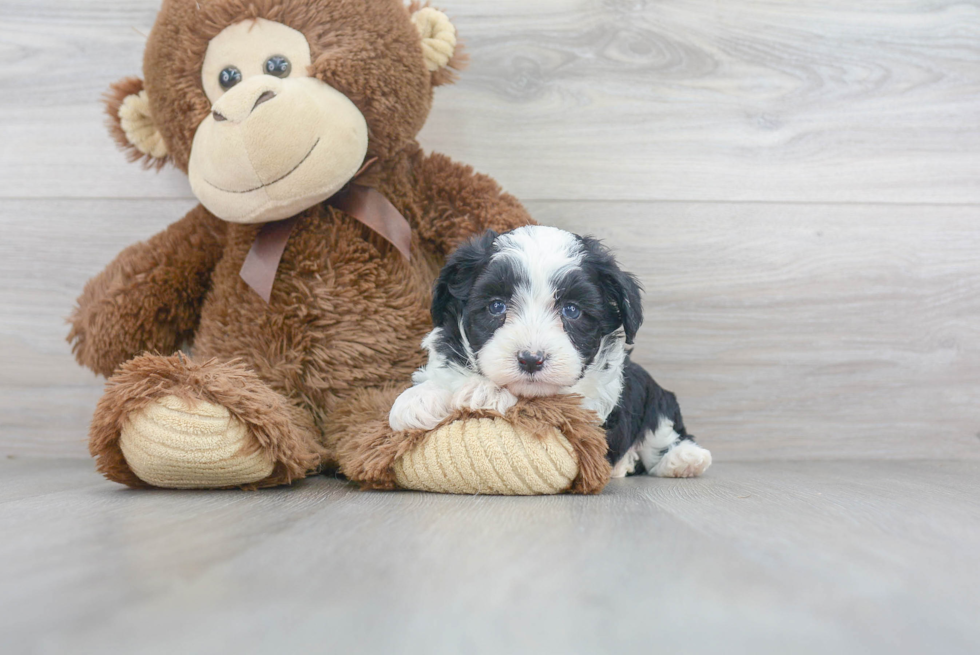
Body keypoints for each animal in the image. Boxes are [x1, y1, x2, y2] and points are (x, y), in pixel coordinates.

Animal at [388, 228, 712, 480]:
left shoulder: (590, 405)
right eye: (496, 306)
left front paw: (485, 391)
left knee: (663, 430)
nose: (531, 359)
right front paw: (418, 399)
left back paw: (684, 460)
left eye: (572, 310)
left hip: (654, 396)